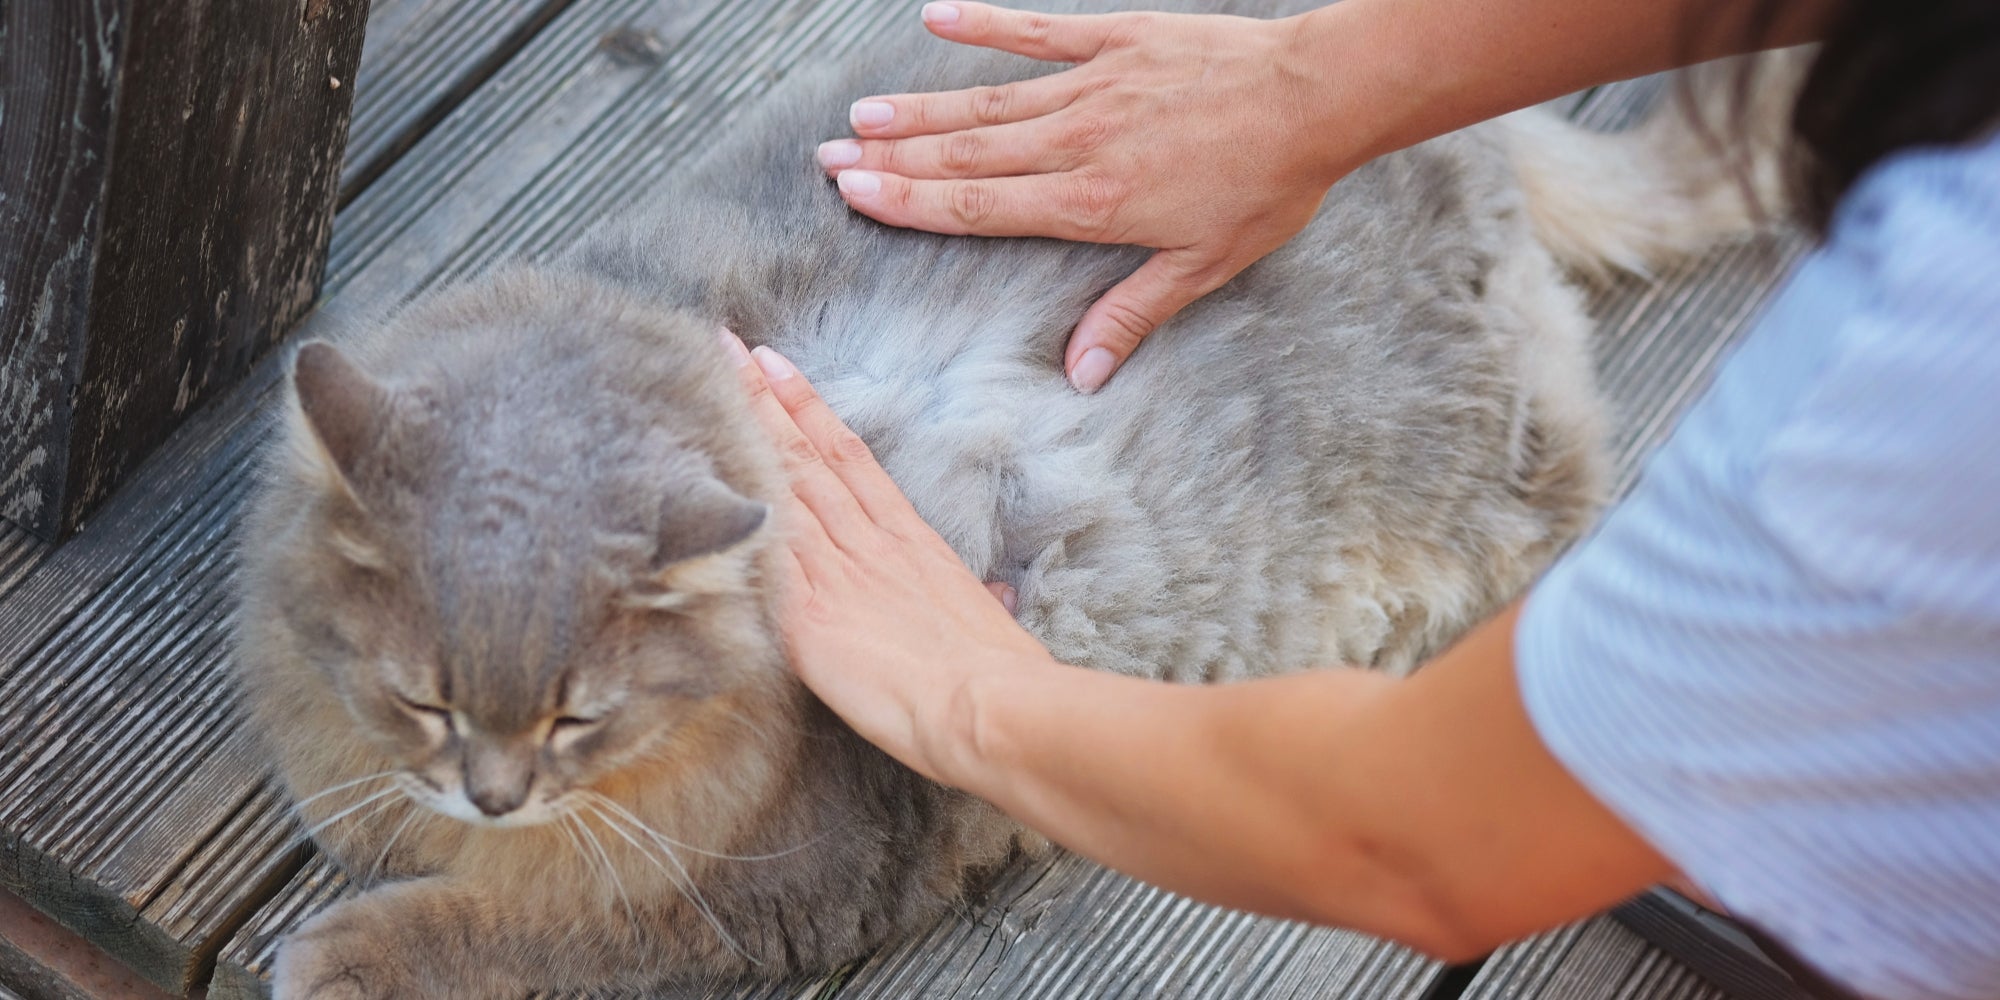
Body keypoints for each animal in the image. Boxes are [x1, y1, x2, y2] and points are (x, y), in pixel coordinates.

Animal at [234, 3, 1784, 996]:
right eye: (424, 696)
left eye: (578, 719)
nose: (486, 790)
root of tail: (1457, 142)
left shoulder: (770, 889)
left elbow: (531, 928)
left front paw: (346, 951)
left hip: (1504, 478)